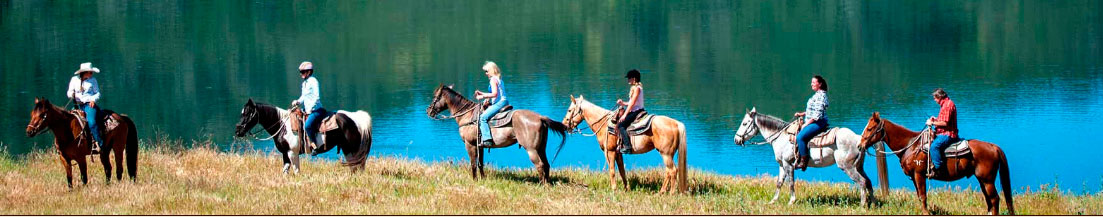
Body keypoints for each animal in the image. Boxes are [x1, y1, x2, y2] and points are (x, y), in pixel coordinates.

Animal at [233, 99, 375, 174]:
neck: (282, 125)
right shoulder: (285, 153)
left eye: (247, 113)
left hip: (352, 149)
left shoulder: (292, 153)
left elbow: (296, 171)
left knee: (357, 167)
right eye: (241, 113)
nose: (238, 130)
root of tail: (357, 118)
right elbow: (285, 171)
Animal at [425, 83, 569, 183]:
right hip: (541, 148)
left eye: (435, 97)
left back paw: (541, 185)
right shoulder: (480, 145)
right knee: (546, 164)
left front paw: (474, 180)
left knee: (540, 165)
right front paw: (483, 179)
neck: (468, 115)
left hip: (531, 149)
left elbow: (473, 163)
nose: (428, 111)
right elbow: (480, 163)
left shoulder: (469, 144)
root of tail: (540, 117)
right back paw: (547, 184)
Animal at [727, 107, 873, 205]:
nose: (736, 139)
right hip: (859, 166)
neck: (781, 136)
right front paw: (773, 201)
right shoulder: (781, 164)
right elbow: (779, 183)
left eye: (744, 123)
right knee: (868, 182)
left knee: (862, 182)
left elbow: (791, 183)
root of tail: (858, 139)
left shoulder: (788, 164)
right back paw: (872, 204)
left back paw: (862, 205)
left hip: (847, 167)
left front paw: (791, 201)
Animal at [855, 112, 1010, 214]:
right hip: (982, 179)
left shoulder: (919, 174)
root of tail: (993, 147)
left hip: (987, 180)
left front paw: (926, 213)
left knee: (995, 199)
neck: (911, 145)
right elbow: (919, 195)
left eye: (870, 128)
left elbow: (923, 195)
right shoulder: (914, 176)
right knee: (988, 198)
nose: (859, 145)